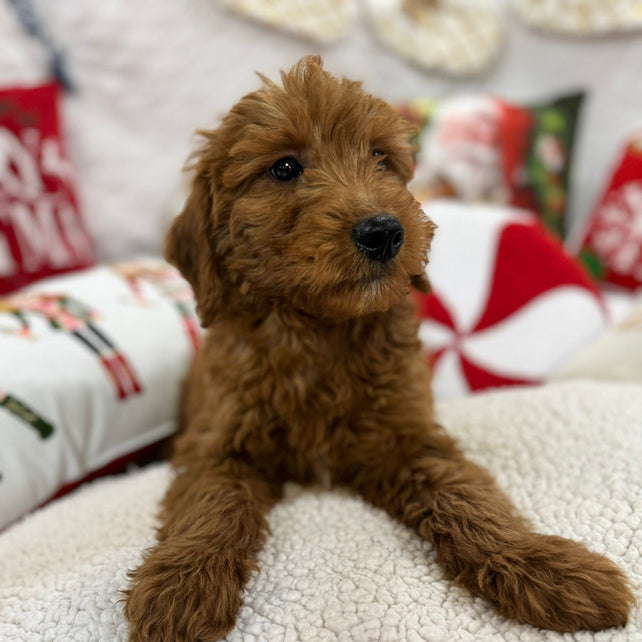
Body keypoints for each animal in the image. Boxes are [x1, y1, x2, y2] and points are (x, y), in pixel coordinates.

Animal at [122, 56, 632, 640]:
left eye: (380, 158)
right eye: (285, 168)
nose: (383, 231)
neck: (320, 329)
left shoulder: (409, 440)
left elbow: (469, 496)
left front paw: (546, 567)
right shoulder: (217, 442)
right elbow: (210, 503)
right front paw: (183, 584)